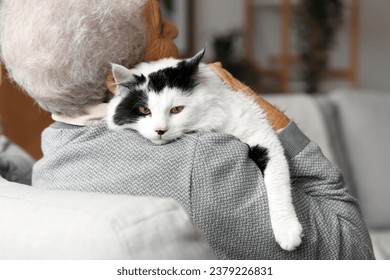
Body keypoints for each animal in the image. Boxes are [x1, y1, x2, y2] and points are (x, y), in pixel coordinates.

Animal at [107, 49, 304, 250]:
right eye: (144, 110)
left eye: (177, 109)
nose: (160, 130)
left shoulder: (260, 135)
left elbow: (276, 181)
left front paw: (287, 231)